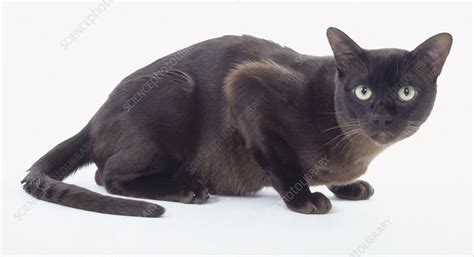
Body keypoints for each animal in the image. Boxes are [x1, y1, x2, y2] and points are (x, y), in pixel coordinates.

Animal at [21, 27, 452, 216]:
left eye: (406, 93)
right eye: (363, 92)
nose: (381, 116)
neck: (358, 148)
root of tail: (93, 117)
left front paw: (350, 188)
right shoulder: (246, 85)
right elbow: (281, 162)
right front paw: (306, 200)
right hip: (175, 88)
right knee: (107, 176)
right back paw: (187, 190)